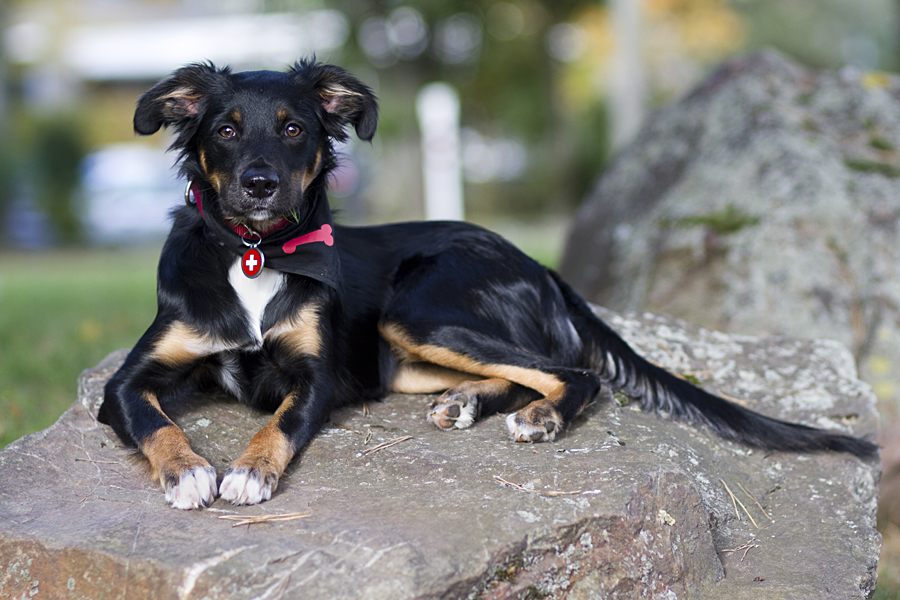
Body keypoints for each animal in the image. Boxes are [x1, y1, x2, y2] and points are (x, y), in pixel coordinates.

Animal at [96, 59, 872, 510]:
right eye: (226, 130)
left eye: (293, 129)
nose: (260, 185)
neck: (255, 253)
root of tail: (537, 264)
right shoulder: (129, 381)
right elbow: (154, 420)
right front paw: (188, 471)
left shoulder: (318, 378)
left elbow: (279, 421)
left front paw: (249, 472)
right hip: (404, 355)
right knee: (523, 370)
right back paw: (470, 402)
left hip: (417, 309)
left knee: (573, 372)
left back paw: (540, 418)